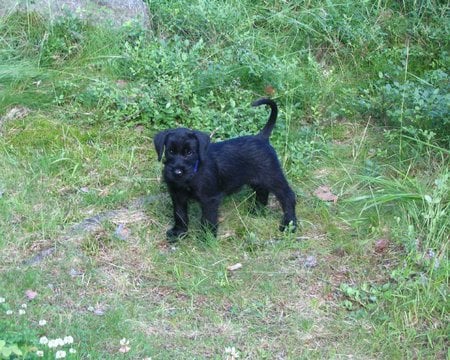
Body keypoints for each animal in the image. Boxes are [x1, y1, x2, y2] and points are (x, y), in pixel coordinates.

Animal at [153, 98, 298, 240]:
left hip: (272, 177)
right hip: (256, 179)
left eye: (189, 153)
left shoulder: (209, 199)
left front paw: (207, 238)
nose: (177, 172)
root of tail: (261, 137)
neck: (194, 172)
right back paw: (257, 211)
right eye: (170, 151)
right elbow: (179, 214)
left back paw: (289, 225)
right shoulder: (178, 196)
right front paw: (179, 232)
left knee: (287, 196)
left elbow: (208, 218)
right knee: (262, 191)